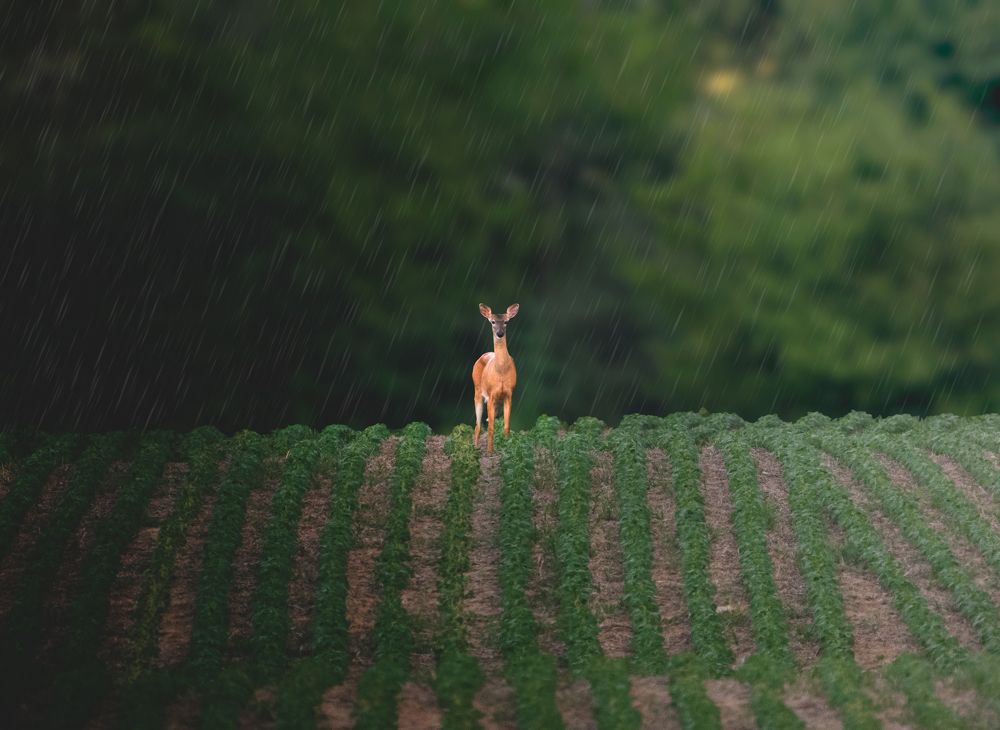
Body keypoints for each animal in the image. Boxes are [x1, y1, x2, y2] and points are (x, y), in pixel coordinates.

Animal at [472, 303, 519, 455]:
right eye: (492, 322)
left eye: (506, 322)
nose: (499, 333)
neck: (501, 371)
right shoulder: (491, 394)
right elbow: (491, 427)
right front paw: (490, 451)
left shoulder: (509, 394)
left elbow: (506, 426)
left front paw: (507, 448)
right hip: (477, 391)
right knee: (478, 425)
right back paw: (475, 449)